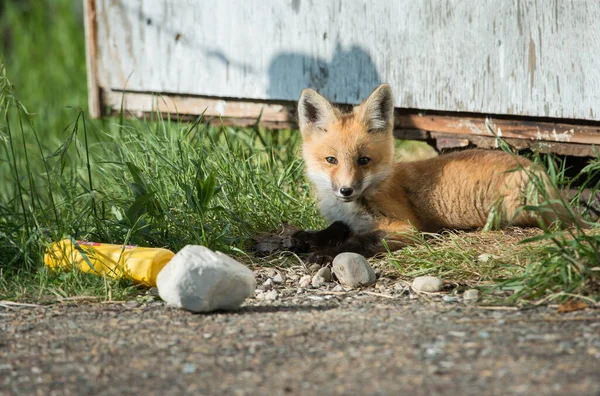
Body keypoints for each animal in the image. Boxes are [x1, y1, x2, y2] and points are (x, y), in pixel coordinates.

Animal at [292, 83, 588, 262]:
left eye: (364, 160)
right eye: (331, 160)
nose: (346, 190)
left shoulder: (406, 228)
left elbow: (361, 241)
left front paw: (326, 253)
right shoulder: (347, 219)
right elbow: (337, 227)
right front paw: (307, 237)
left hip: (514, 209)